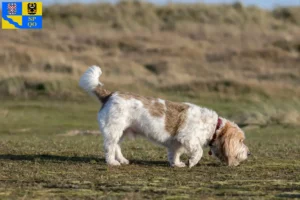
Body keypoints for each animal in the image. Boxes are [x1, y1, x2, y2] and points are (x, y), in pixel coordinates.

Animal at [78, 65, 250, 167]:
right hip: (113, 131)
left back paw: (122, 160)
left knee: (117, 147)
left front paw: (177, 164)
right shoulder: (188, 138)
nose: (249, 153)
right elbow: (198, 152)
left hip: (122, 132)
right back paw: (112, 162)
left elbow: (175, 153)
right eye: (241, 141)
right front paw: (192, 162)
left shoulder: (177, 143)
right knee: (109, 147)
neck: (214, 127)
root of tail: (109, 94)